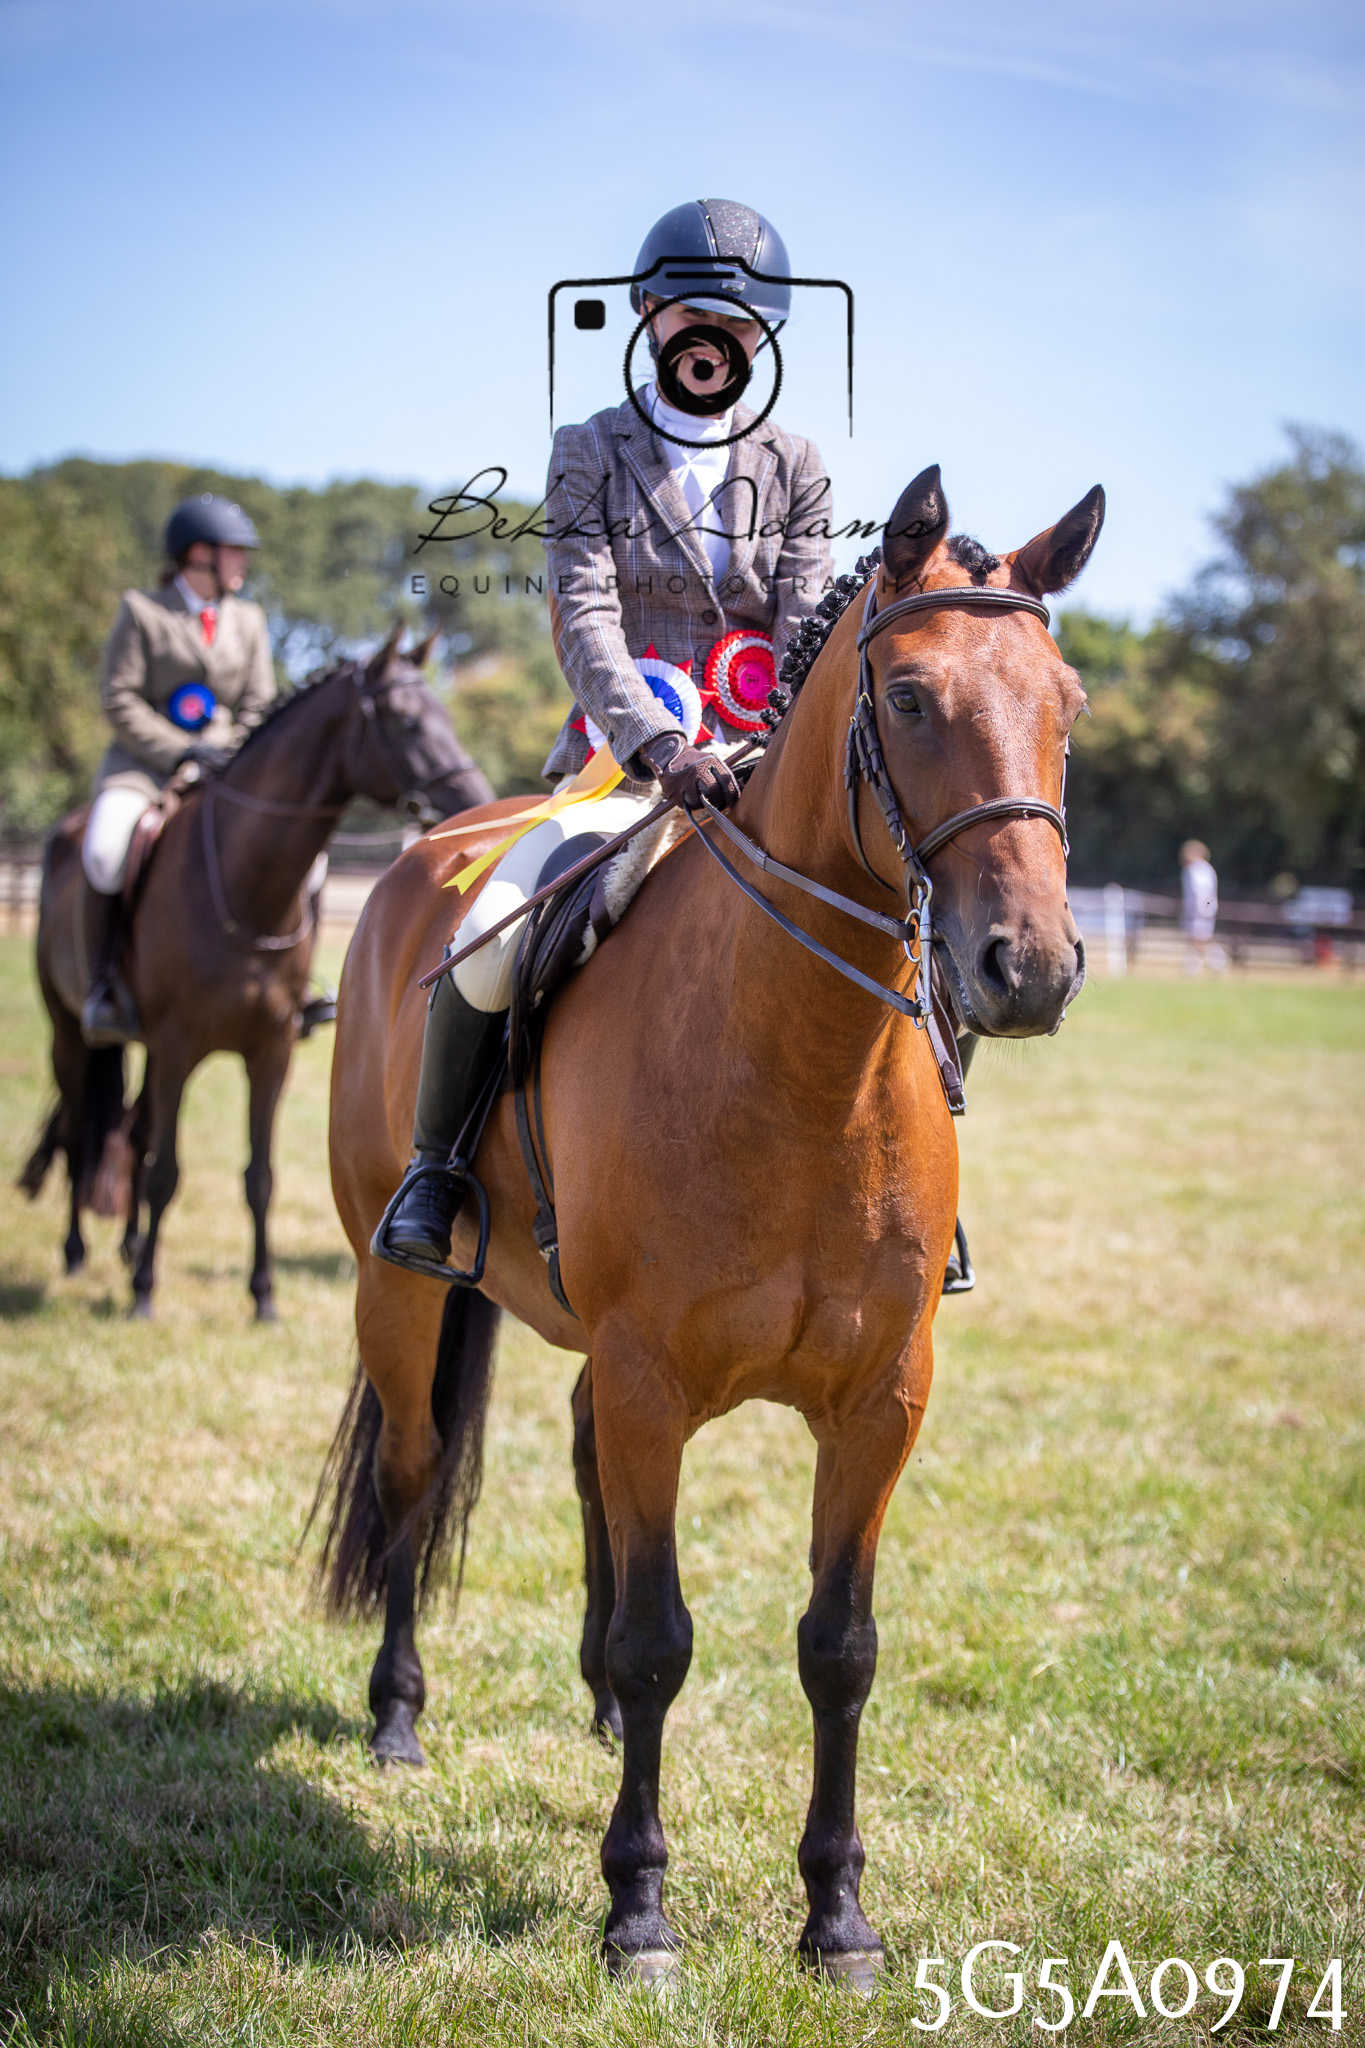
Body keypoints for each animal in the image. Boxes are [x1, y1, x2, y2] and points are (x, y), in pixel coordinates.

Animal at [21, 625, 494, 1321]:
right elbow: (166, 1172)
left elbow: (258, 1177)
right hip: (70, 1033)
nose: (475, 801)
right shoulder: (177, 1048)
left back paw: (129, 1249)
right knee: (86, 1129)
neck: (244, 888)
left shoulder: (270, 1051)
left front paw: (263, 1295)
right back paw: (80, 1253)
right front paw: (145, 1294)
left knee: (133, 1133)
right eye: (407, 722)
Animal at [316, 466, 1104, 1985]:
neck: (806, 1063)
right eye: (908, 696)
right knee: (414, 1469)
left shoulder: (880, 1398)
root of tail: (431, 850)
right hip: (405, 1290)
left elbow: (838, 1646)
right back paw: (397, 1714)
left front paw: (838, 1916)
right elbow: (659, 1638)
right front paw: (637, 1909)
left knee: (579, 1478)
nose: (1027, 967)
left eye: (1069, 701)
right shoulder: (650, 1378)